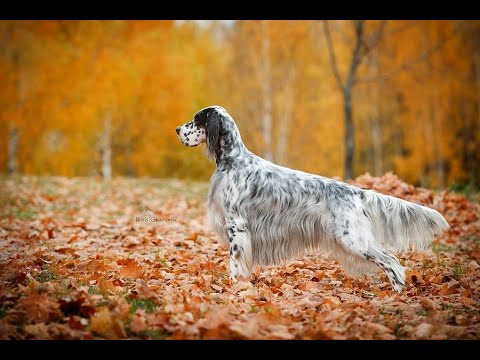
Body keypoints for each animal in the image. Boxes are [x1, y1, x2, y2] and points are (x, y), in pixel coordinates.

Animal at [175, 105, 450, 292]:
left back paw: (397, 294)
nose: (177, 129)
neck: (233, 159)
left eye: (196, 120)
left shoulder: (236, 225)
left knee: (392, 261)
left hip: (354, 238)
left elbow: (234, 262)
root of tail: (358, 192)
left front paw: (234, 287)